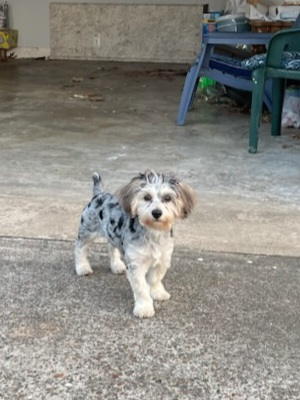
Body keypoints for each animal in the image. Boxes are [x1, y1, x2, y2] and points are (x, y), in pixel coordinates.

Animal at [76, 170, 196, 318]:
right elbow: (142, 289)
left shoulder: (163, 259)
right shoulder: (136, 264)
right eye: (147, 197)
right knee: (80, 248)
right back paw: (82, 267)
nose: (156, 213)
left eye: (168, 198)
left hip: (111, 234)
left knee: (111, 248)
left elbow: (155, 279)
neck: (153, 233)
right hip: (87, 231)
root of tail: (98, 195)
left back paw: (116, 265)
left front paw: (158, 293)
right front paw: (144, 307)